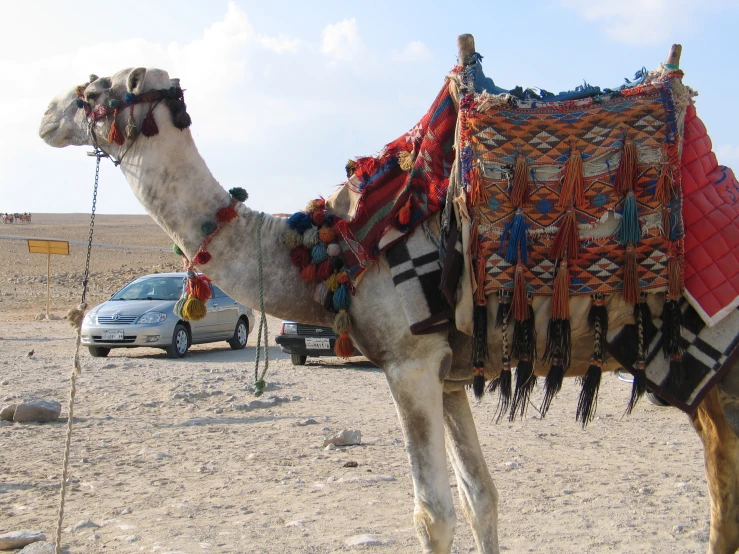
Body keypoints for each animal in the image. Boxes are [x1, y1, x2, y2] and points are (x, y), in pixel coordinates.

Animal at [39, 40, 739, 552]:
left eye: (95, 91)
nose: (45, 113)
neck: (326, 251)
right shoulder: (451, 375)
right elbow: (482, 497)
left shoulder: (410, 362)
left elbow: (434, 514)